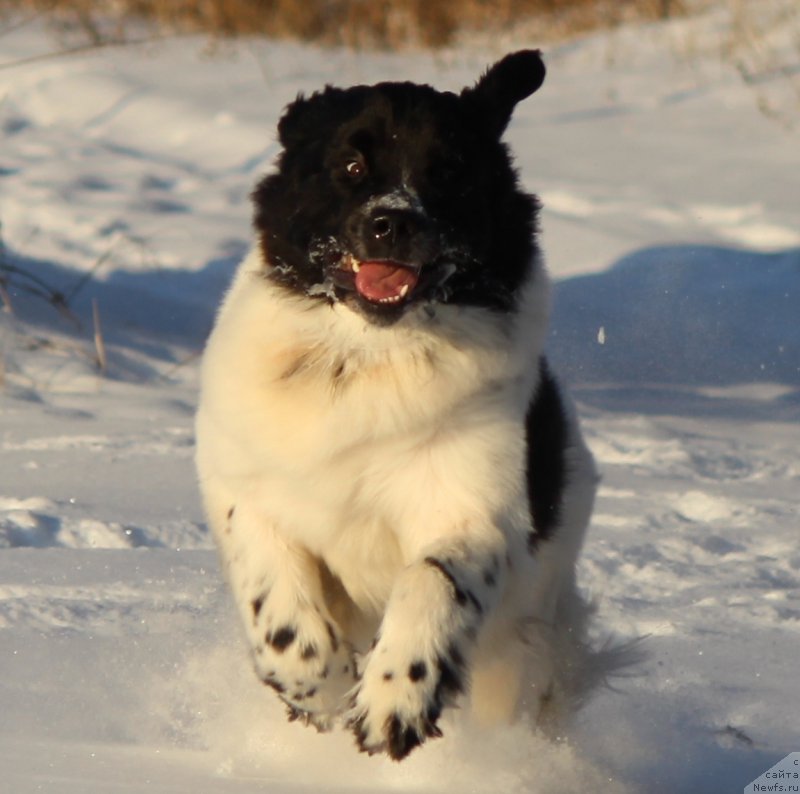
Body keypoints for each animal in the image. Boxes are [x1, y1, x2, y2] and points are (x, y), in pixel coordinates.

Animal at [197, 51, 604, 760]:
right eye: (351, 167)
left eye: (449, 172)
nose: (394, 221)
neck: (366, 359)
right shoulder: (241, 481)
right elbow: (272, 590)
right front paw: (318, 687)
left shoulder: (475, 508)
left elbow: (432, 580)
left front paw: (396, 700)